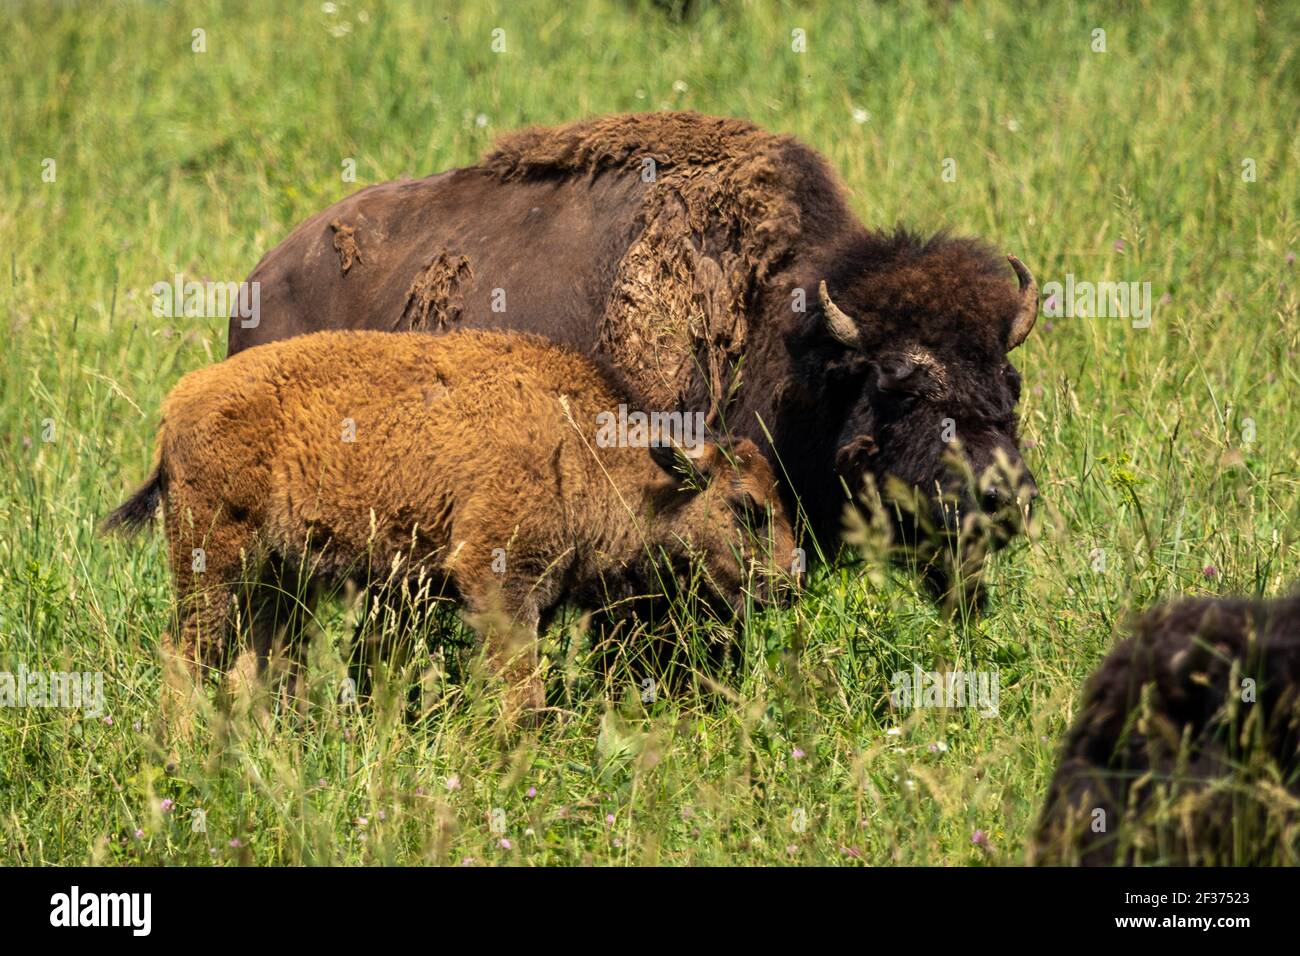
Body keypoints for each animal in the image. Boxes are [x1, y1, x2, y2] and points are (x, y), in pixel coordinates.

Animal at [104, 332, 790, 723]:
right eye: (746, 507)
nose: (789, 582)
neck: (578, 445)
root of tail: (178, 404)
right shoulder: (499, 581)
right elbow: (523, 695)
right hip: (213, 563)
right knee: (188, 656)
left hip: (279, 580)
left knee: (257, 664)